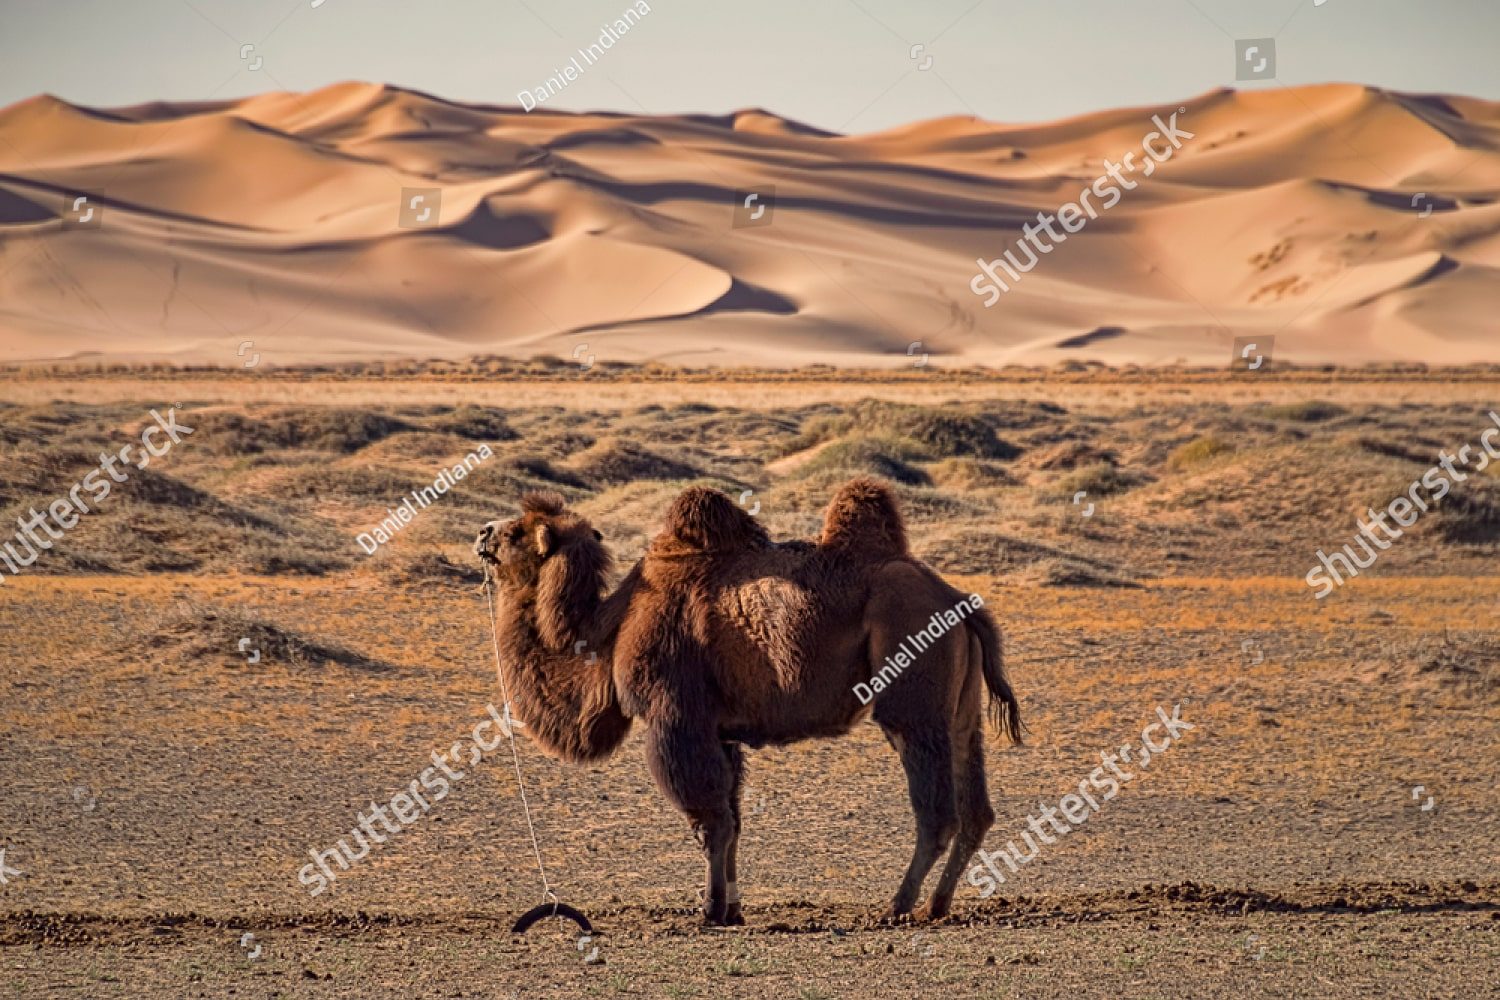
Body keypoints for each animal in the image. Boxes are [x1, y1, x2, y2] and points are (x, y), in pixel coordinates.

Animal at [473, 476, 1022, 926]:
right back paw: (937, 905)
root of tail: (959, 603)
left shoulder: (676, 718)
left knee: (937, 811)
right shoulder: (722, 729)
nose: (482, 532)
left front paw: (710, 912)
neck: (606, 632)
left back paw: (897, 905)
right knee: (975, 808)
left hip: (912, 700)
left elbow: (710, 819)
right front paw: (731, 909)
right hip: (961, 713)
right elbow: (733, 821)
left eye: (518, 532)